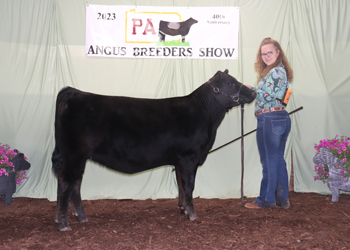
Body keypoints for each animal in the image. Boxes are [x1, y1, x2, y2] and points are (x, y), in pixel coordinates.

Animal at [51, 69, 254, 231]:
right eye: (230, 83)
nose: (253, 92)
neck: (203, 114)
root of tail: (75, 93)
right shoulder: (189, 158)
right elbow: (189, 185)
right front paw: (192, 214)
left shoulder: (179, 161)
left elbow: (180, 184)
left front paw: (182, 209)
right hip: (74, 155)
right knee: (66, 182)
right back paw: (63, 223)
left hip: (78, 157)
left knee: (75, 183)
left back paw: (81, 217)